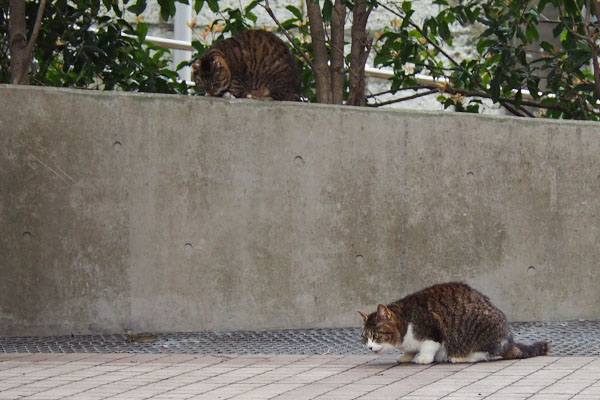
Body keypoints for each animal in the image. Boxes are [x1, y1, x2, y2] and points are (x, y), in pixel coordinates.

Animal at [358, 282, 552, 364]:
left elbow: (429, 346)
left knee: (489, 355)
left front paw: (423, 357)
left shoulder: (432, 331)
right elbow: (410, 350)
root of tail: (509, 341)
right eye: (365, 338)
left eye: (376, 335)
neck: (406, 320)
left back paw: (460, 357)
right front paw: (406, 356)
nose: (369, 347)